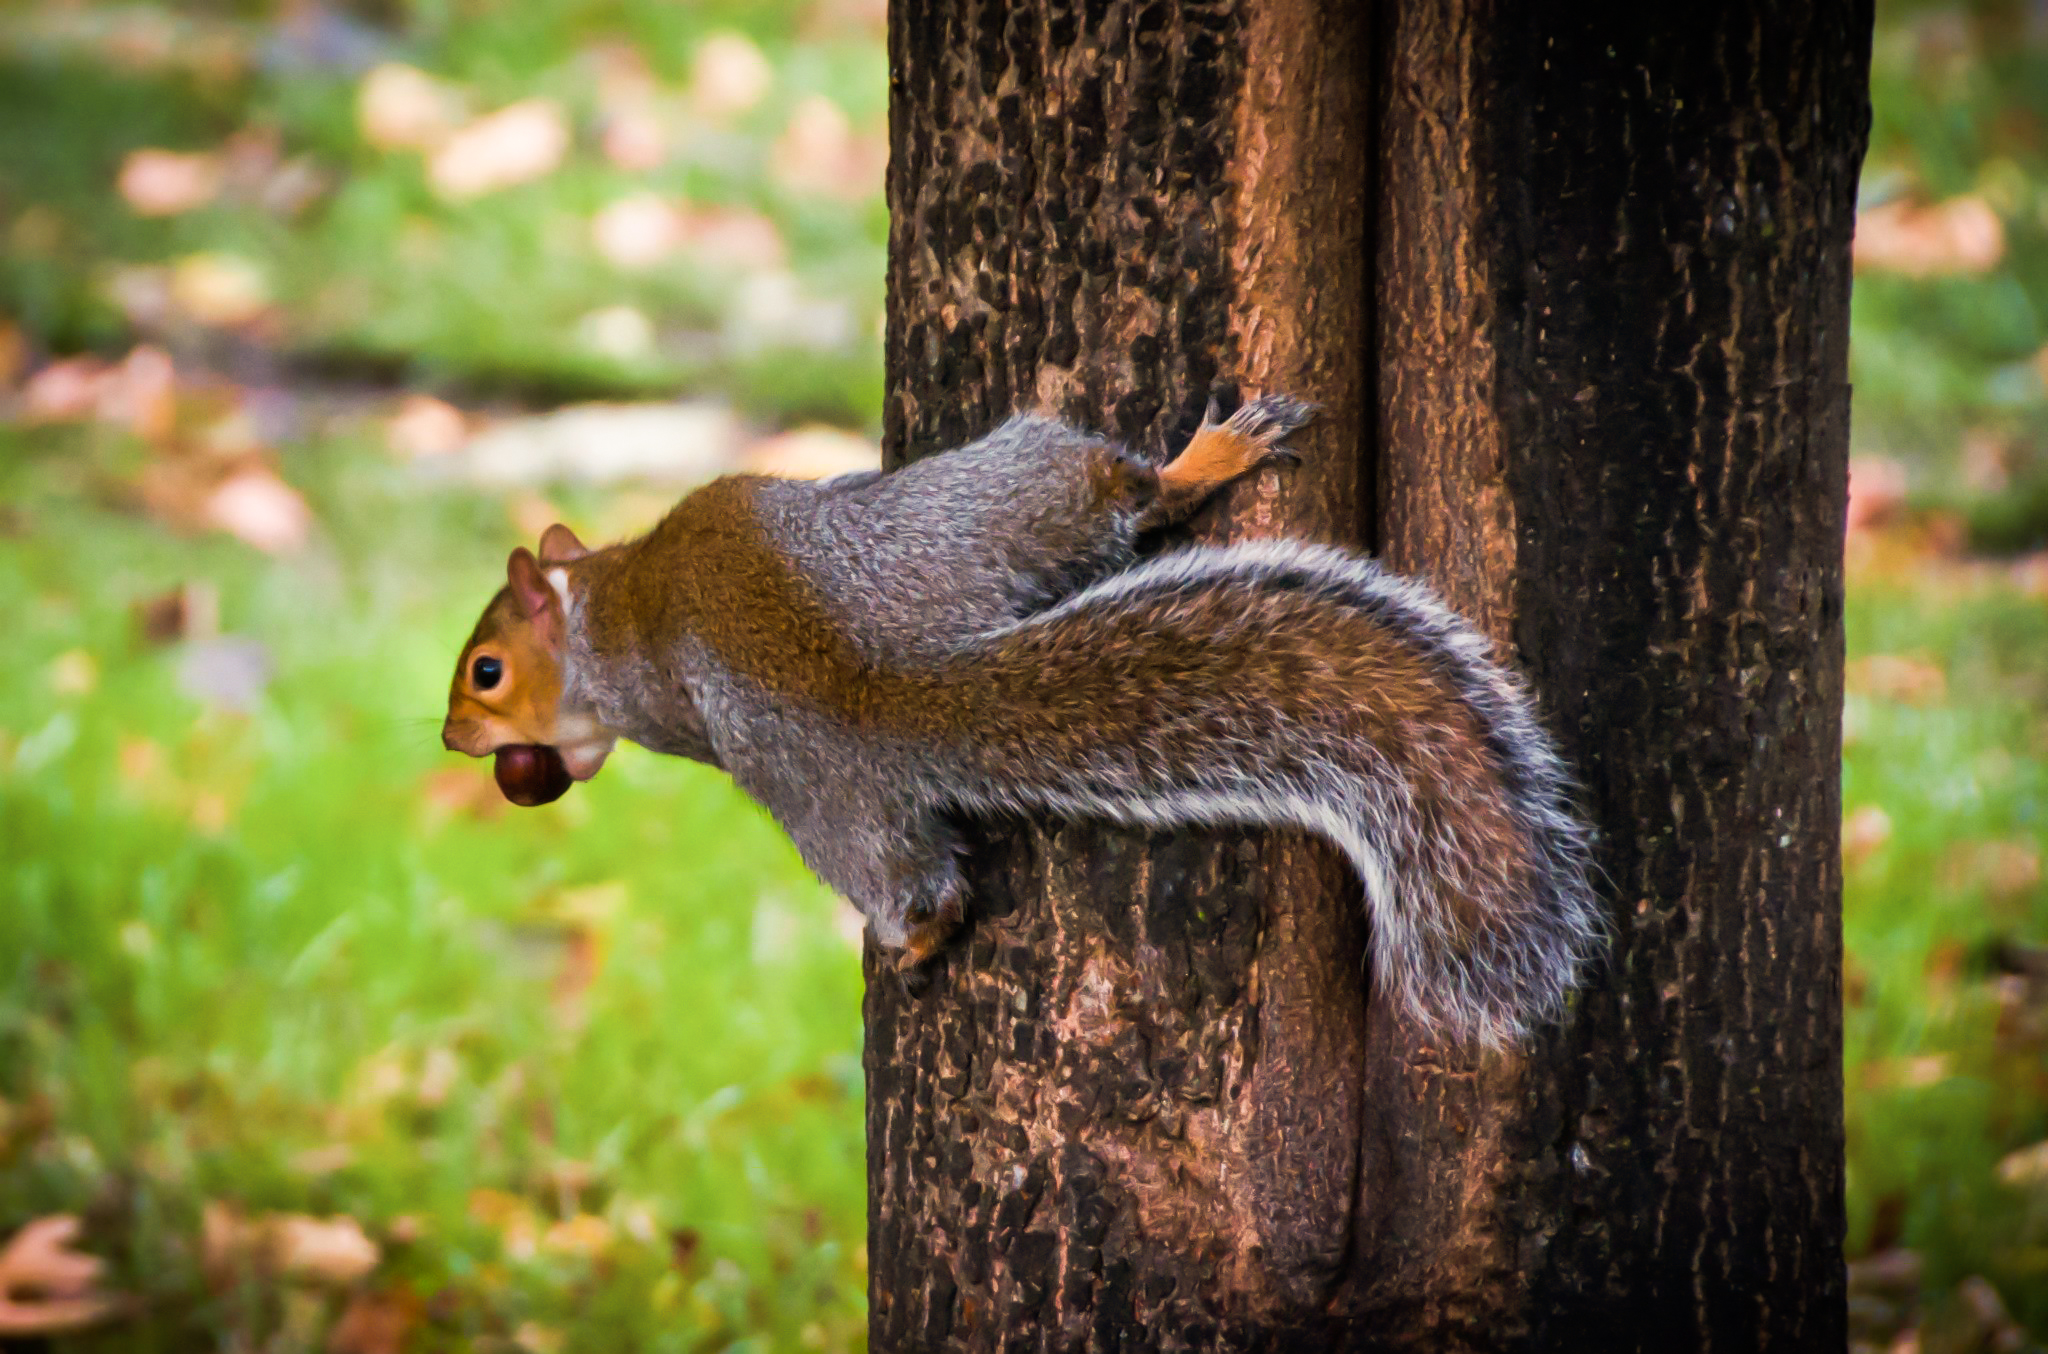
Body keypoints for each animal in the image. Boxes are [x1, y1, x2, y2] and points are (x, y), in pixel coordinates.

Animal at [444, 393, 1597, 1044]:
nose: (454, 741)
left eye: (485, 671)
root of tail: (882, 679)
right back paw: (1204, 467)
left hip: (832, 767)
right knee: (1115, 496)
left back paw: (906, 941)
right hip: (965, 526)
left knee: (919, 887)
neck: (606, 588)